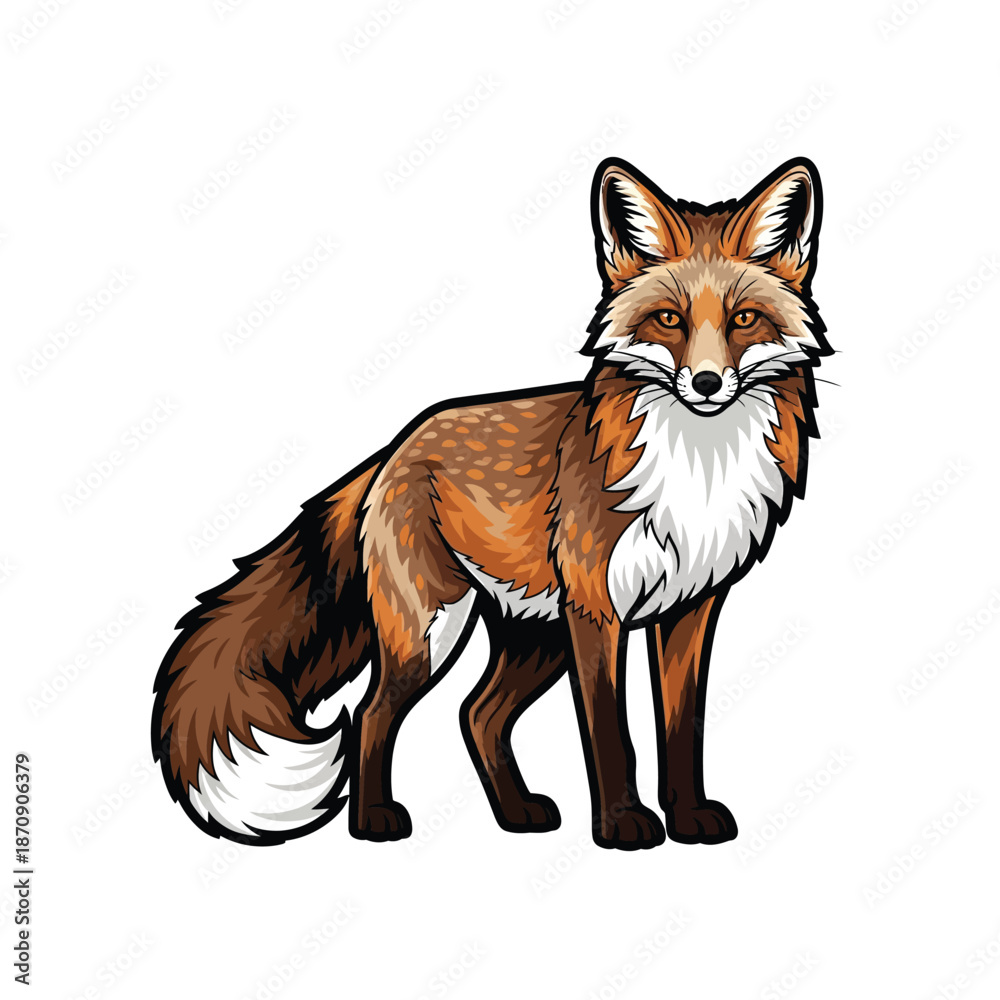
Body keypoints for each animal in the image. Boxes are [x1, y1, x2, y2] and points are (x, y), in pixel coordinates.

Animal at [152, 156, 831, 850]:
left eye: (744, 319)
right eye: (669, 320)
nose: (707, 382)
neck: (698, 467)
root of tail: (398, 443)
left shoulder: (690, 610)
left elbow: (680, 727)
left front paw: (689, 817)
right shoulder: (597, 610)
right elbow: (610, 734)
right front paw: (622, 825)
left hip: (537, 634)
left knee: (476, 713)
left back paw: (516, 813)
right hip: (433, 629)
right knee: (374, 712)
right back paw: (374, 820)